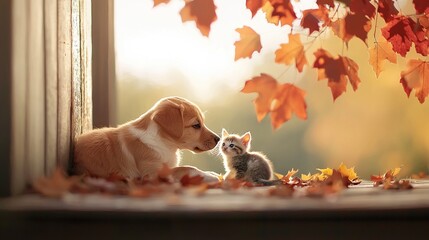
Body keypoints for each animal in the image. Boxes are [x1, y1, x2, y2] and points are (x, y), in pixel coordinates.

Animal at [73, 96, 219, 181]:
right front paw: (210, 176)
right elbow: (187, 168)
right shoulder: (152, 173)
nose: (218, 139)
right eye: (196, 125)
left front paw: (211, 173)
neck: (164, 143)